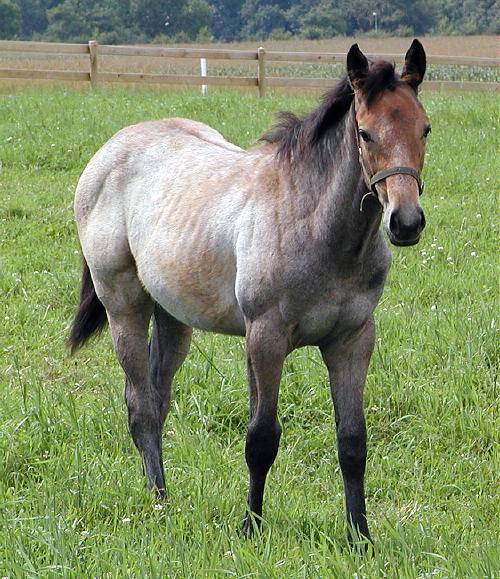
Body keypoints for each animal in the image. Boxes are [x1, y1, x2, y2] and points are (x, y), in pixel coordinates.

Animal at [69, 39, 430, 543]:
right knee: (140, 407)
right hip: (123, 306)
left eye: (425, 129)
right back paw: (160, 502)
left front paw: (360, 537)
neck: (312, 225)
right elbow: (261, 438)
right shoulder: (265, 338)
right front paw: (250, 527)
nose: (406, 222)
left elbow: (353, 441)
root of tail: (108, 151)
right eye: (365, 133)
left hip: (173, 318)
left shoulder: (352, 340)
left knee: (157, 400)